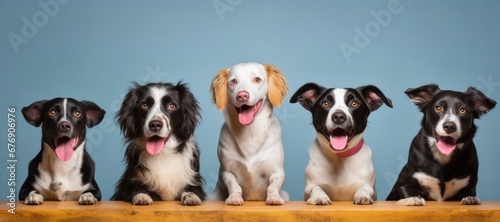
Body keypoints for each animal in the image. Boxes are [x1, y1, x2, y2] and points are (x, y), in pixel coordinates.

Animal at [209, 61, 292, 206]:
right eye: (233, 81)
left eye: (257, 79)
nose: (242, 95)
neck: (250, 132)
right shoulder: (227, 172)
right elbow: (234, 185)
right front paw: (234, 198)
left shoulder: (278, 171)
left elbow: (274, 185)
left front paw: (274, 197)